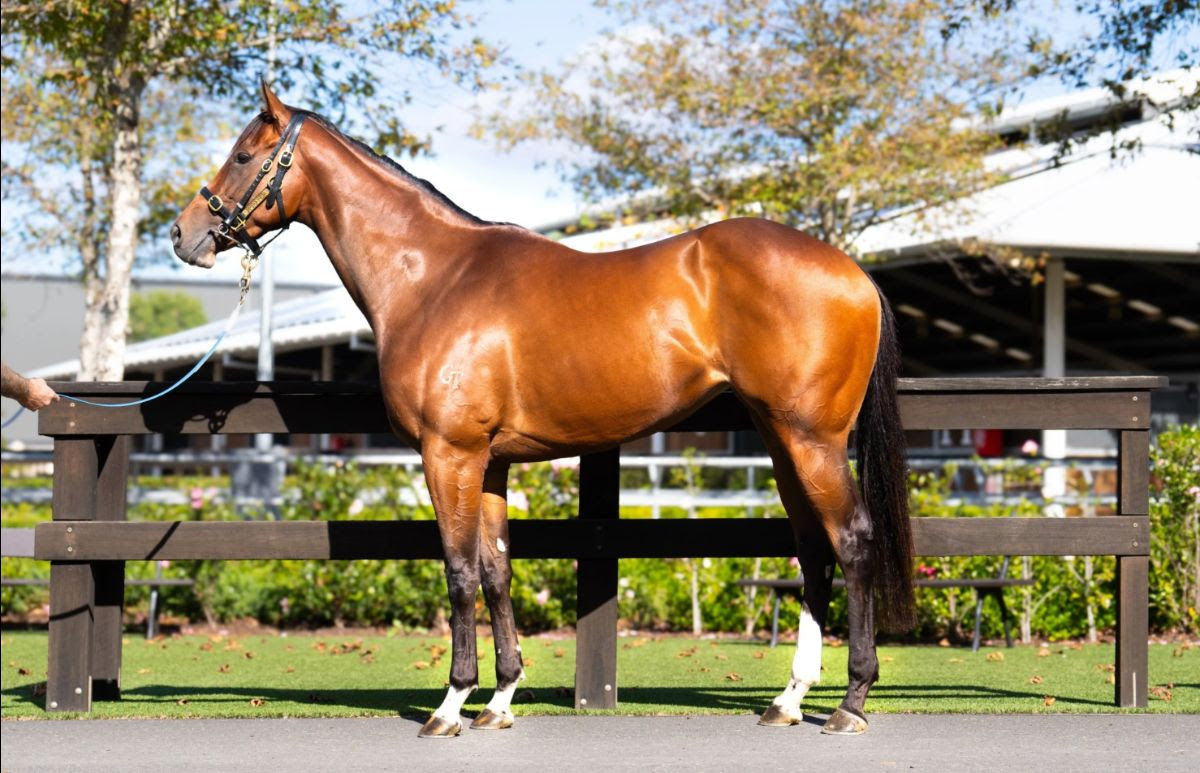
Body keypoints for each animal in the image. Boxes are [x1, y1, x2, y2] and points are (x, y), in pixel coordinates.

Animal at [171, 82, 915, 738]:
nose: (185, 234)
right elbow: (498, 569)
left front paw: (451, 703)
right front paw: (500, 698)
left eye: (244, 155)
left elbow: (459, 571)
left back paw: (851, 700)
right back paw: (789, 698)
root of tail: (853, 272)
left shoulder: (449, 455)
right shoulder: (491, 464)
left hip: (812, 439)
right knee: (812, 548)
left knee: (853, 541)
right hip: (781, 438)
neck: (433, 277)